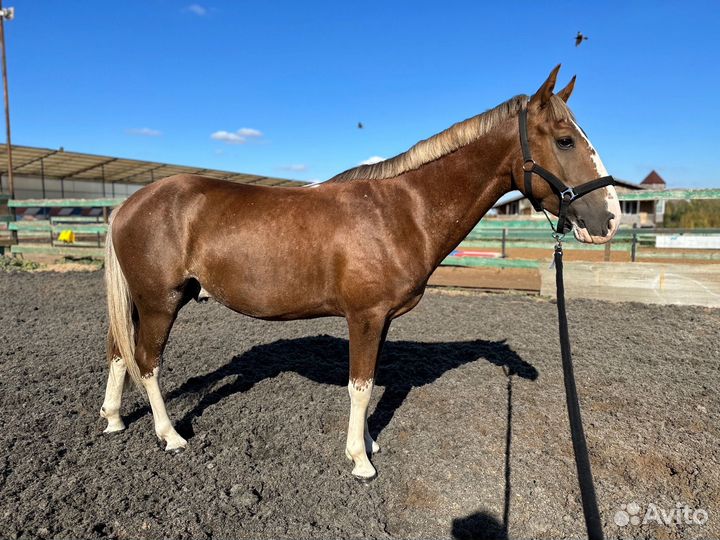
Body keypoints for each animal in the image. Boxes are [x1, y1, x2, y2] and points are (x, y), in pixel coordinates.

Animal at [100, 65, 621, 482]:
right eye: (565, 140)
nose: (610, 219)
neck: (402, 210)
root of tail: (127, 204)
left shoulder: (381, 319)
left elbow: (369, 385)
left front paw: (369, 442)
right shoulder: (364, 316)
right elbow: (360, 386)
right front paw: (359, 460)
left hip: (146, 302)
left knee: (119, 353)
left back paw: (113, 418)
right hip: (160, 302)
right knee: (146, 362)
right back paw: (169, 435)